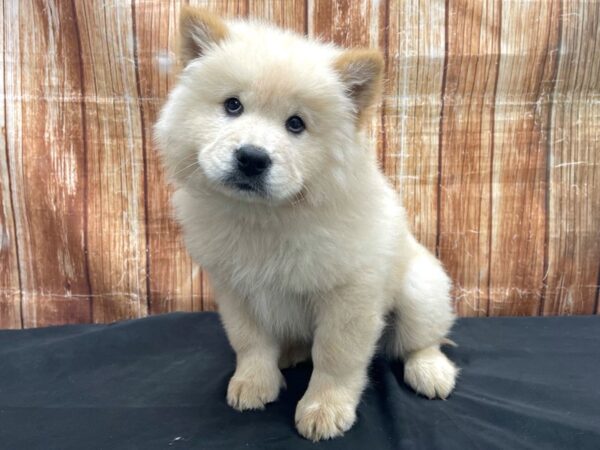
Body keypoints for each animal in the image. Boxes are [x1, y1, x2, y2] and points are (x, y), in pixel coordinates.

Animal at [156, 7, 460, 442]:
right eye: (232, 106)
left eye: (296, 124)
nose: (252, 158)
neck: (266, 217)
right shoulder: (235, 287)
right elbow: (249, 341)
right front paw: (253, 383)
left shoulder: (349, 294)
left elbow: (335, 356)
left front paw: (324, 410)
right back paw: (289, 354)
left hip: (421, 289)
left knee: (422, 340)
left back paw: (431, 373)